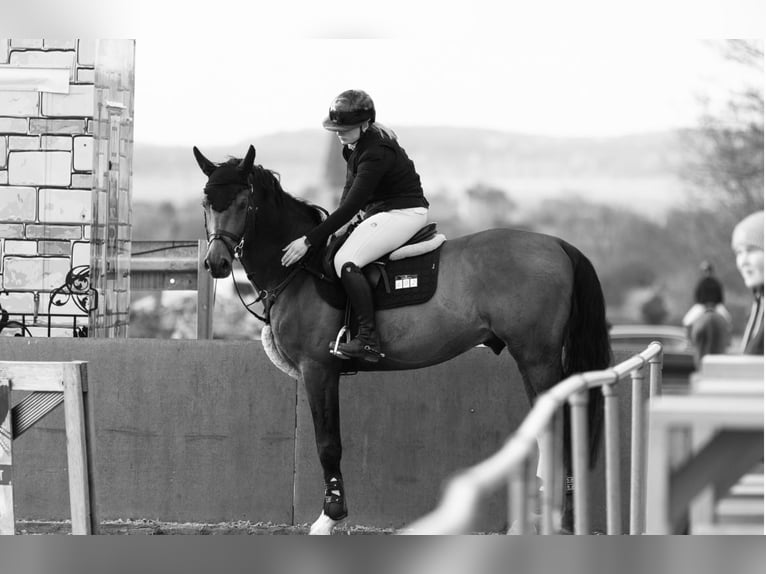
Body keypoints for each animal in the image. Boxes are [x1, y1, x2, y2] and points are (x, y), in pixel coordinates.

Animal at [194, 144, 612, 534]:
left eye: (244, 202)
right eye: (206, 202)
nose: (216, 263)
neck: (300, 269)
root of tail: (557, 244)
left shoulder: (318, 370)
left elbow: (328, 444)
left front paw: (331, 516)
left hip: (536, 356)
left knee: (559, 427)